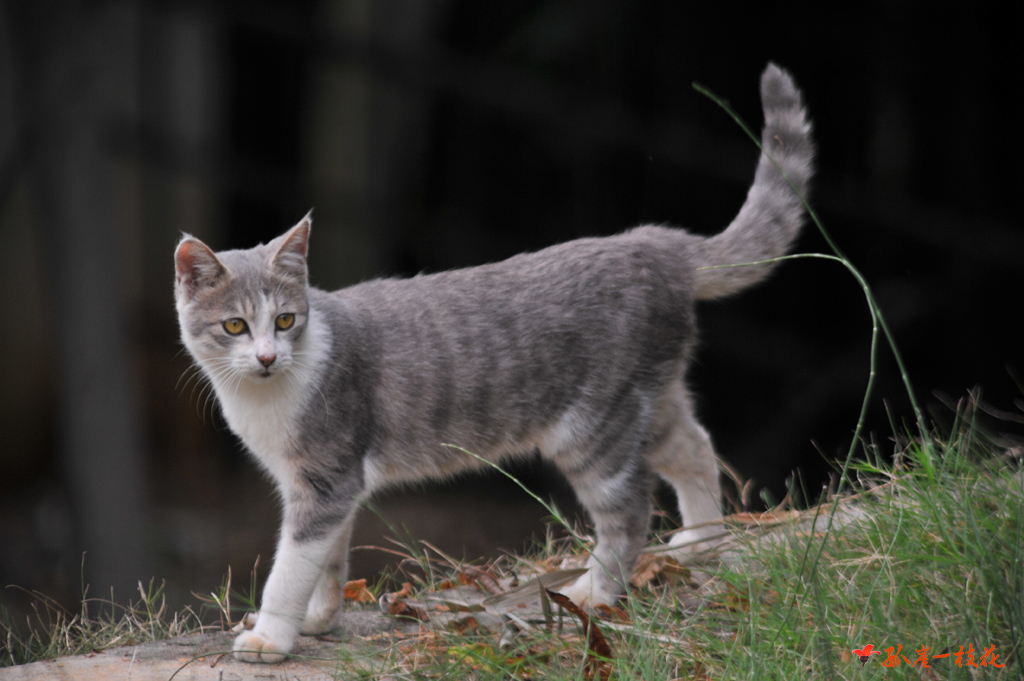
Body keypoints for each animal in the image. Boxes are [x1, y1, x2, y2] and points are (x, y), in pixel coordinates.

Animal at [176, 62, 815, 659]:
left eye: (285, 320)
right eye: (235, 325)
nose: (265, 356)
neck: (263, 396)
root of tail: (653, 243)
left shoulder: (326, 478)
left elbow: (290, 567)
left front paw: (270, 637)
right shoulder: (328, 483)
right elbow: (328, 561)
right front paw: (318, 619)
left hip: (594, 429)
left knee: (630, 512)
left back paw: (593, 593)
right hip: (648, 400)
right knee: (695, 446)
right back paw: (703, 540)